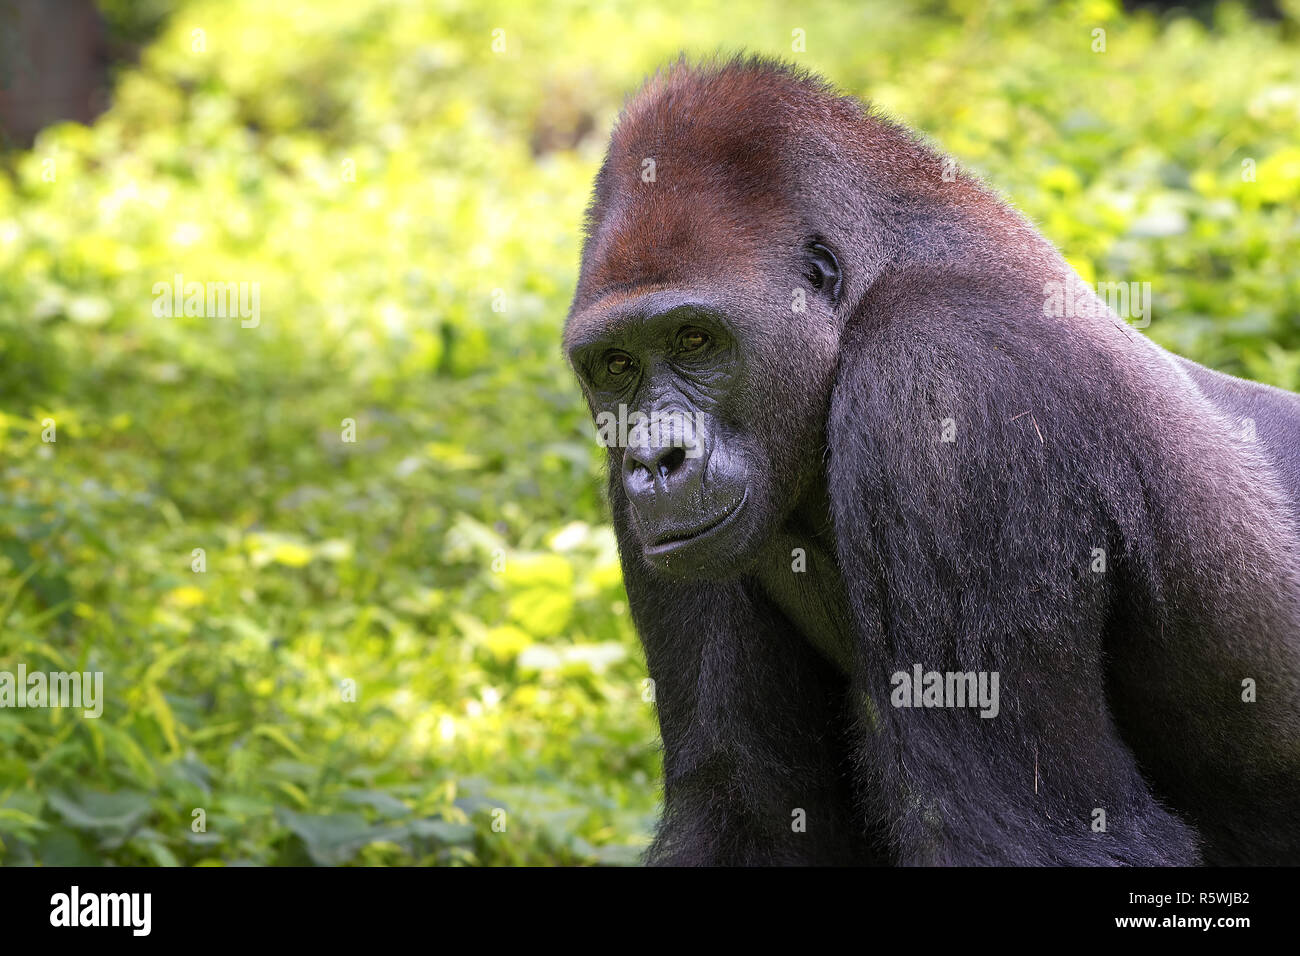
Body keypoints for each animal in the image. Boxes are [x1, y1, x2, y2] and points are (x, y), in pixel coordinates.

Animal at [561, 55, 1300, 868]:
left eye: (695, 339)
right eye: (617, 364)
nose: (655, 458)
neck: (871, 292)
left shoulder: (945, 384)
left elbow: (1025, 833)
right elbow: (747, 806)